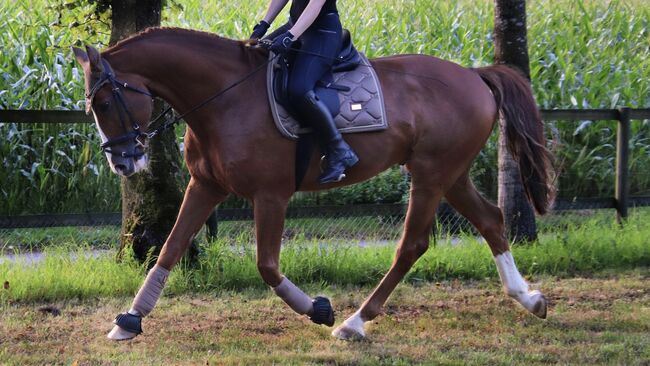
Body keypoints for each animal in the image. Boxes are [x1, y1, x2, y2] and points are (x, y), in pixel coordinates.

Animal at [74, 27, 552, 340]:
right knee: (491, 220)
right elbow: (169, 250)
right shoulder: (205, 186)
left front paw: (319, 310)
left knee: (413, 245)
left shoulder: (271, 195)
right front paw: (130, 321)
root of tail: (474, 75)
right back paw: (528, 298)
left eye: (104, 102)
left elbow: (267, 266)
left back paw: (355, 322)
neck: (225, 97)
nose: (122, 161)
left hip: (432, 174)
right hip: (450, 173)